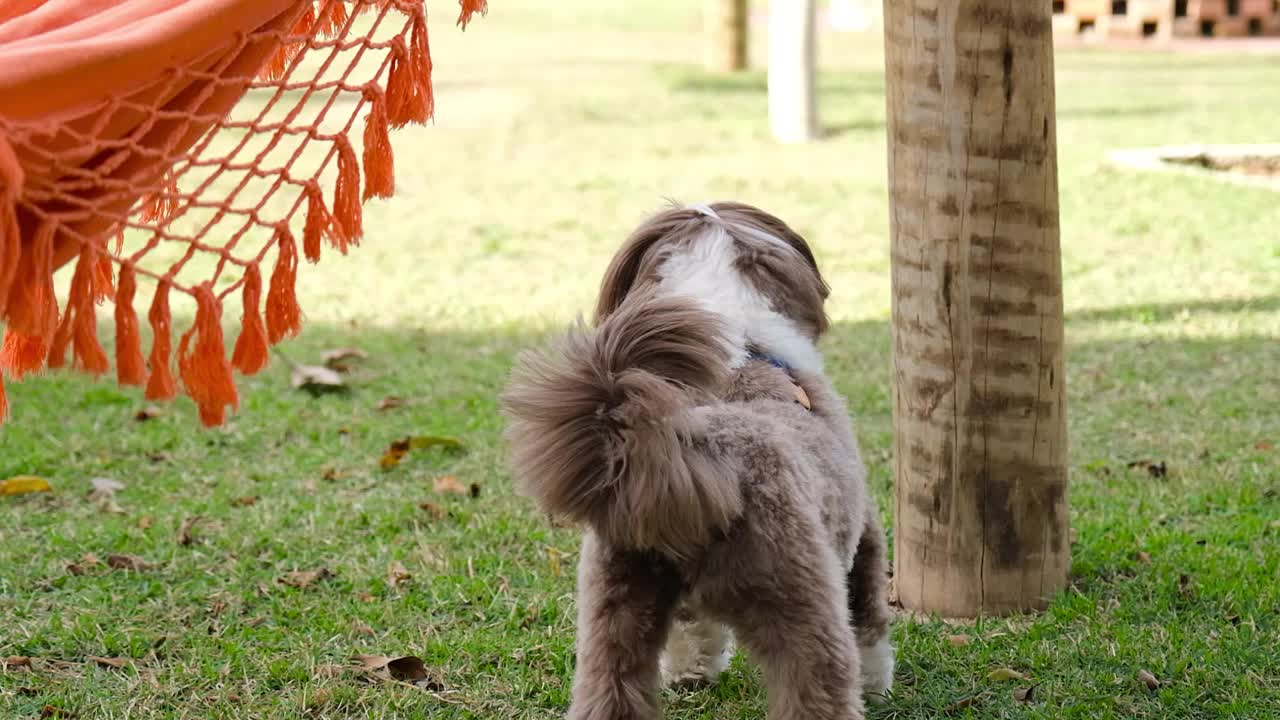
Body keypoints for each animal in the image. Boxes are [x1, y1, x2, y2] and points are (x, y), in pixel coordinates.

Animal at [499, 198, 890, 712]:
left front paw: (691, 674)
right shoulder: (862, 532)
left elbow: (692, 631)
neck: (746, 355)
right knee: (820, 678)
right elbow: (870, 618)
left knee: (610, 684)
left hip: (619, 603)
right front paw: (877, 685)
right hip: (800, 599)